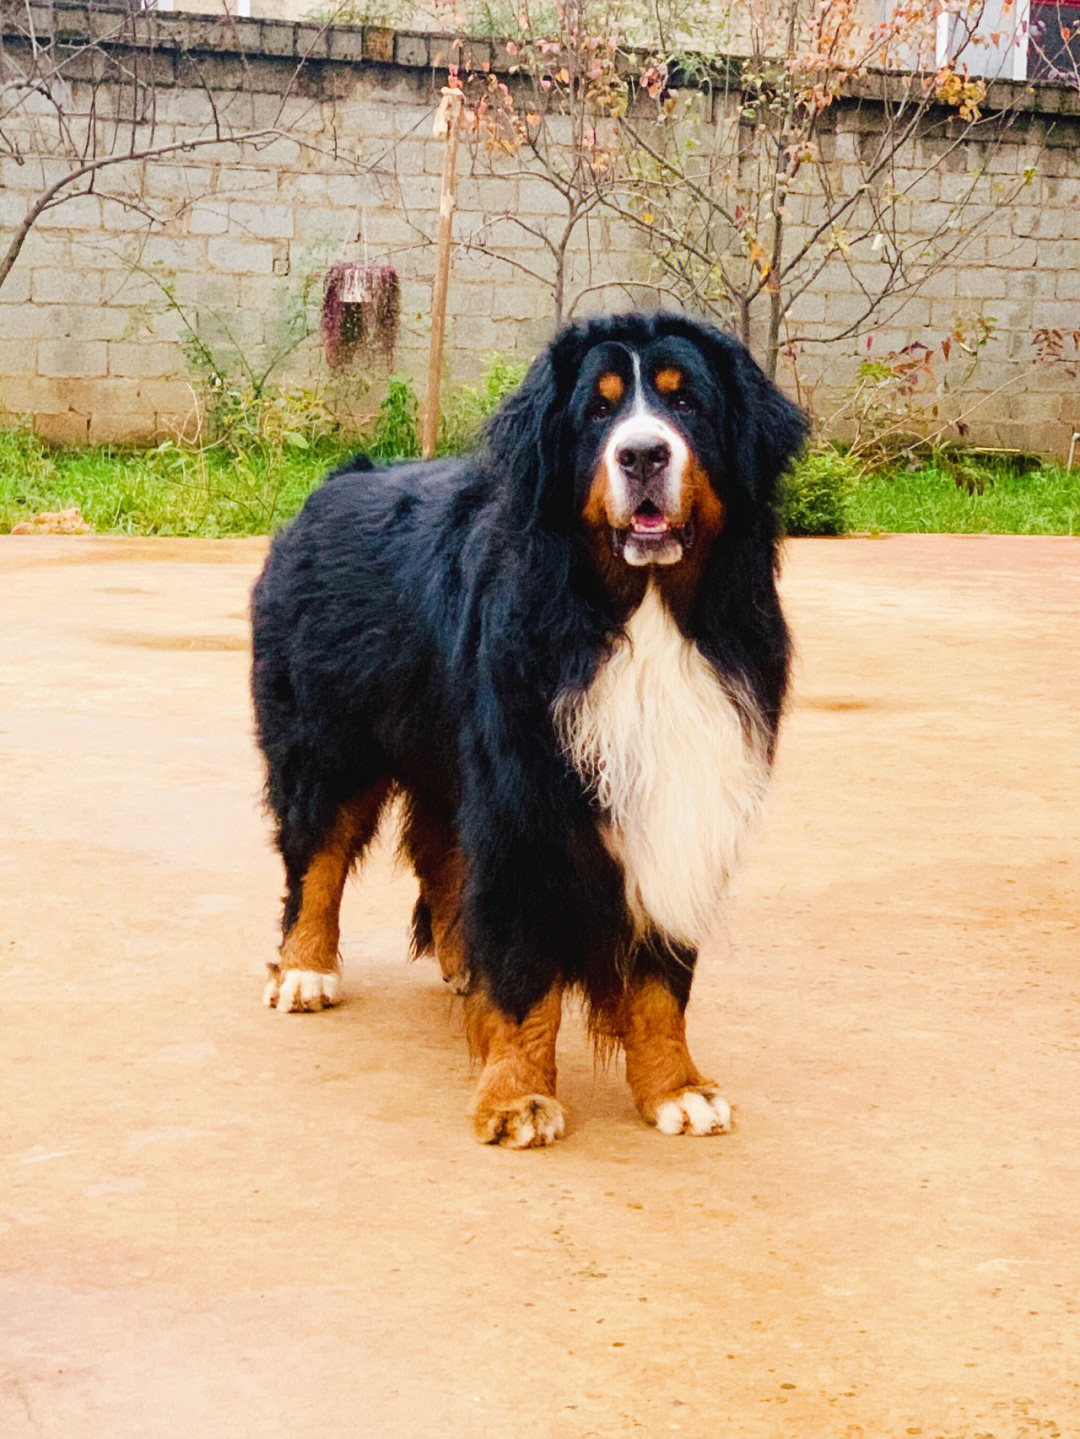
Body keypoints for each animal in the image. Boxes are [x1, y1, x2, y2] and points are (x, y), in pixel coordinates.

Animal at [253, 312, 805, 1145]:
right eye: (598, 412)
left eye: (687, 403)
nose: (643, 454)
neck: (639, 615)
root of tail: (337, 480)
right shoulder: (524, 793)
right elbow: (523, 966)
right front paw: (515, 1094)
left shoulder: (683, 788)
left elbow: (661, 973)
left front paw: (676, 1087)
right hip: (326, 738)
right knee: (315, 852)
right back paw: (304, 968)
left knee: (441, 852)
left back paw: (457, 960)